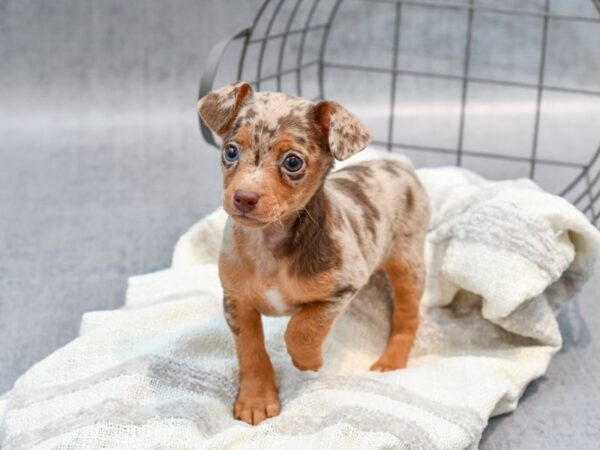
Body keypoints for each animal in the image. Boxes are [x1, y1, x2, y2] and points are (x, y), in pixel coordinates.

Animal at [199, 81, 428, 426]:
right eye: (230, 151)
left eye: (292, 162)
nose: (244, 197)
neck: (268, 246)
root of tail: (397, 163)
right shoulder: (237, 302)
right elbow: (250, 351)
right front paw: (256, 399)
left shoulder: (341, 290)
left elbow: (302, 328)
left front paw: (308, 361)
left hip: (408, 264)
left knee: (408, 316)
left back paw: (391, 361)